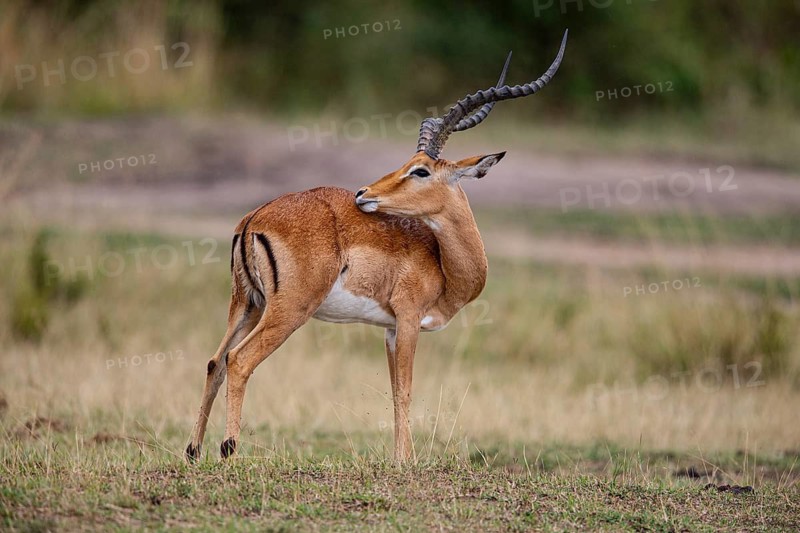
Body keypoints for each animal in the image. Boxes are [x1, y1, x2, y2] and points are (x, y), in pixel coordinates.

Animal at [186, 30, 568, 463]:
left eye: (420, 169)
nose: (363, 193)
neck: (442, 263)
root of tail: (255, 218)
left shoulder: (389, 329)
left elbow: (393, 391)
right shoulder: (409, 320)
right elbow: (405, 391)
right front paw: (406, 461)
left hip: (247, 305)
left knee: (215, 361)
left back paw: (193, 451)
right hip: (289, 310)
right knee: (239, 360)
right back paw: (229, 449)